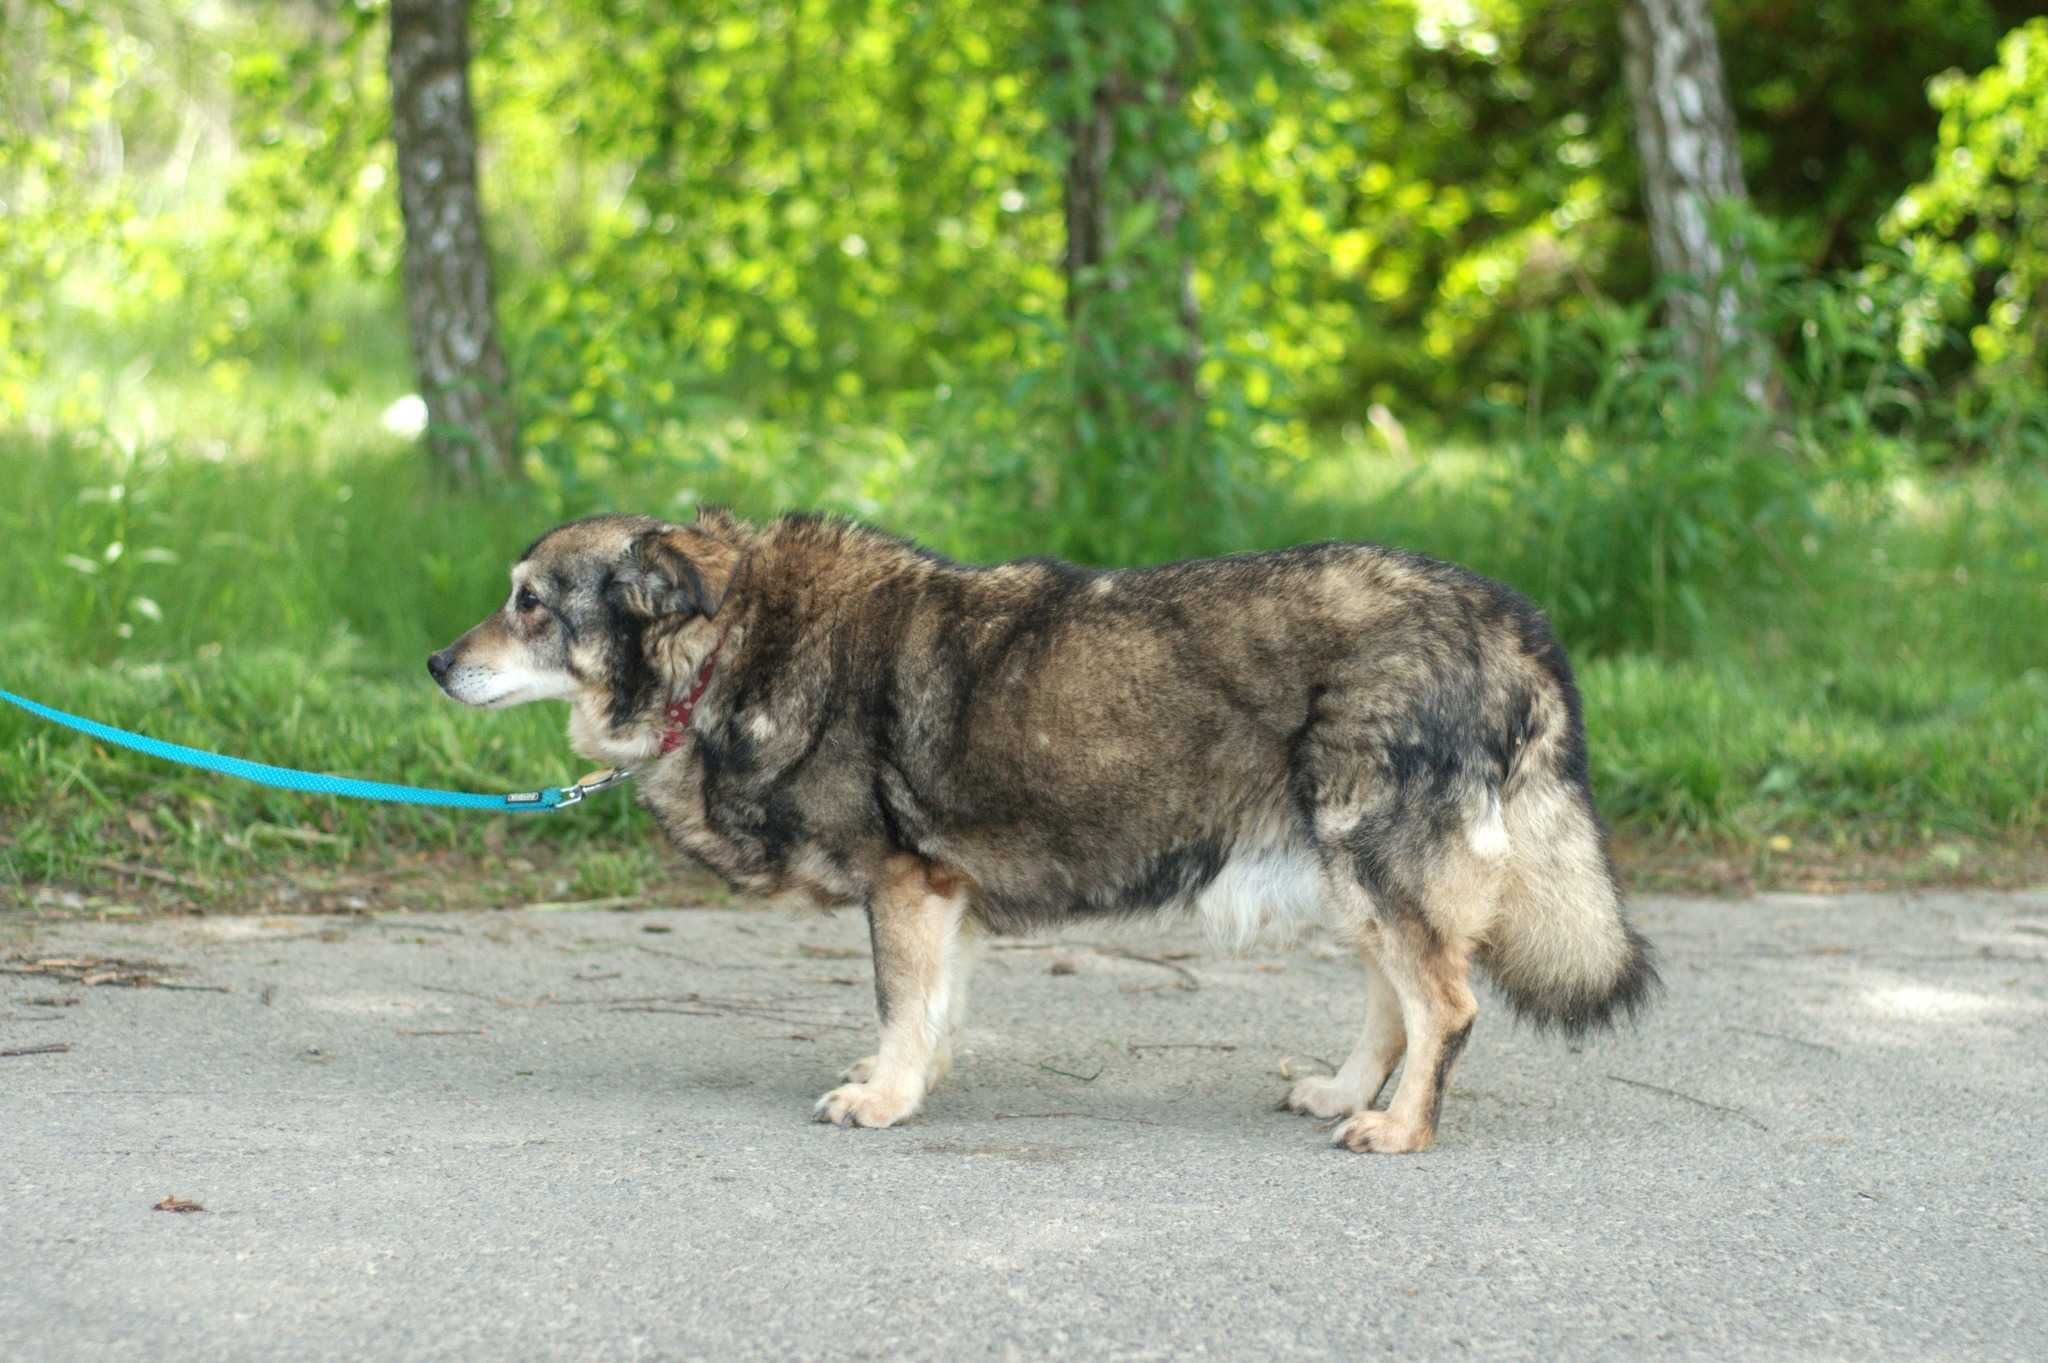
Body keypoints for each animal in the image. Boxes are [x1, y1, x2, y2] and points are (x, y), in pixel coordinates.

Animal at [423, 507, 1654, 1146]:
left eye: (530, 602)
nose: (435, 663)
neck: (731, 644)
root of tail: (1514, 622)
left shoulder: (905, 887)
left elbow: (900, 1004)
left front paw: (884, 1097)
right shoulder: (941, 898)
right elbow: (932, 1009)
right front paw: (913, 1078)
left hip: (1372, 861)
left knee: (1443, 1004)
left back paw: (1398, 1127)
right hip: (1350, 873)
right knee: (1396, 1004)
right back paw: (1351, 1093)